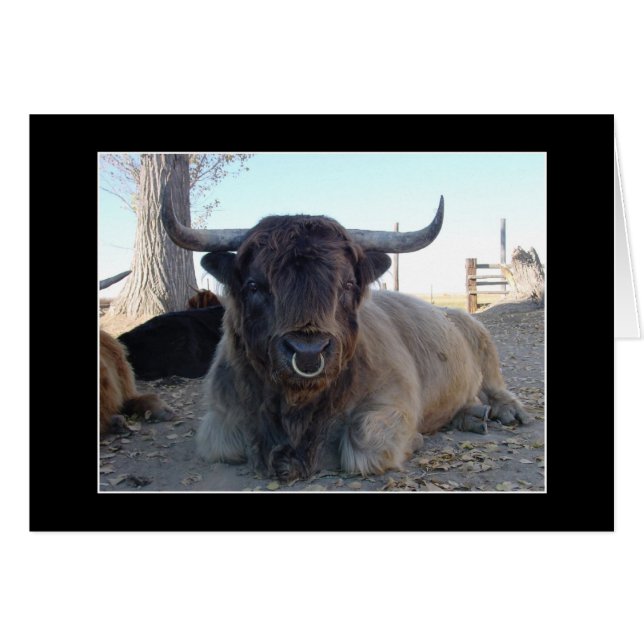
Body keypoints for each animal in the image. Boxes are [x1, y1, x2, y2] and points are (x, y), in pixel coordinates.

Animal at [161, 188, 530, 483]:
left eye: (348, 284)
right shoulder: (219, 421)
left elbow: (365, 443)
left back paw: (506, 412)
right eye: (253, 286)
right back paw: (472, 416)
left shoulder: (393, 402)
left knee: (495, 385)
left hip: (483, 341)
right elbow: (226, 444)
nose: (308, 351)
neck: (297, 413)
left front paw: (415, 439)